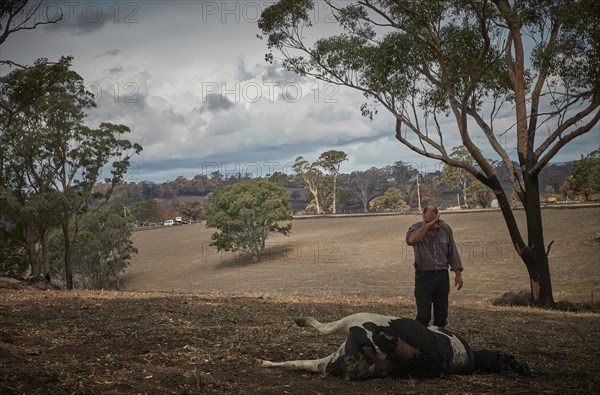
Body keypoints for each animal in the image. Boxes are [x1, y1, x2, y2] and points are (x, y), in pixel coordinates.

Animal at [258, 312, 528, 380]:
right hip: (332, 358)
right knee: (298, 362)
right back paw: (263, 362)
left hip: (357, 319)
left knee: (325, 327)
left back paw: (302, 321)